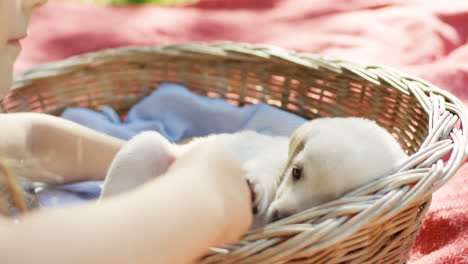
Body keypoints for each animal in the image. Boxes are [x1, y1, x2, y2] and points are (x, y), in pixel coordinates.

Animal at [100, 117, 408, 229]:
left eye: (332, 200)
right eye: (296, 172)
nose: (279, 215)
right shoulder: (274, 158)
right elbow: (265, 170)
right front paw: (255, 186)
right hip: (144, 146)